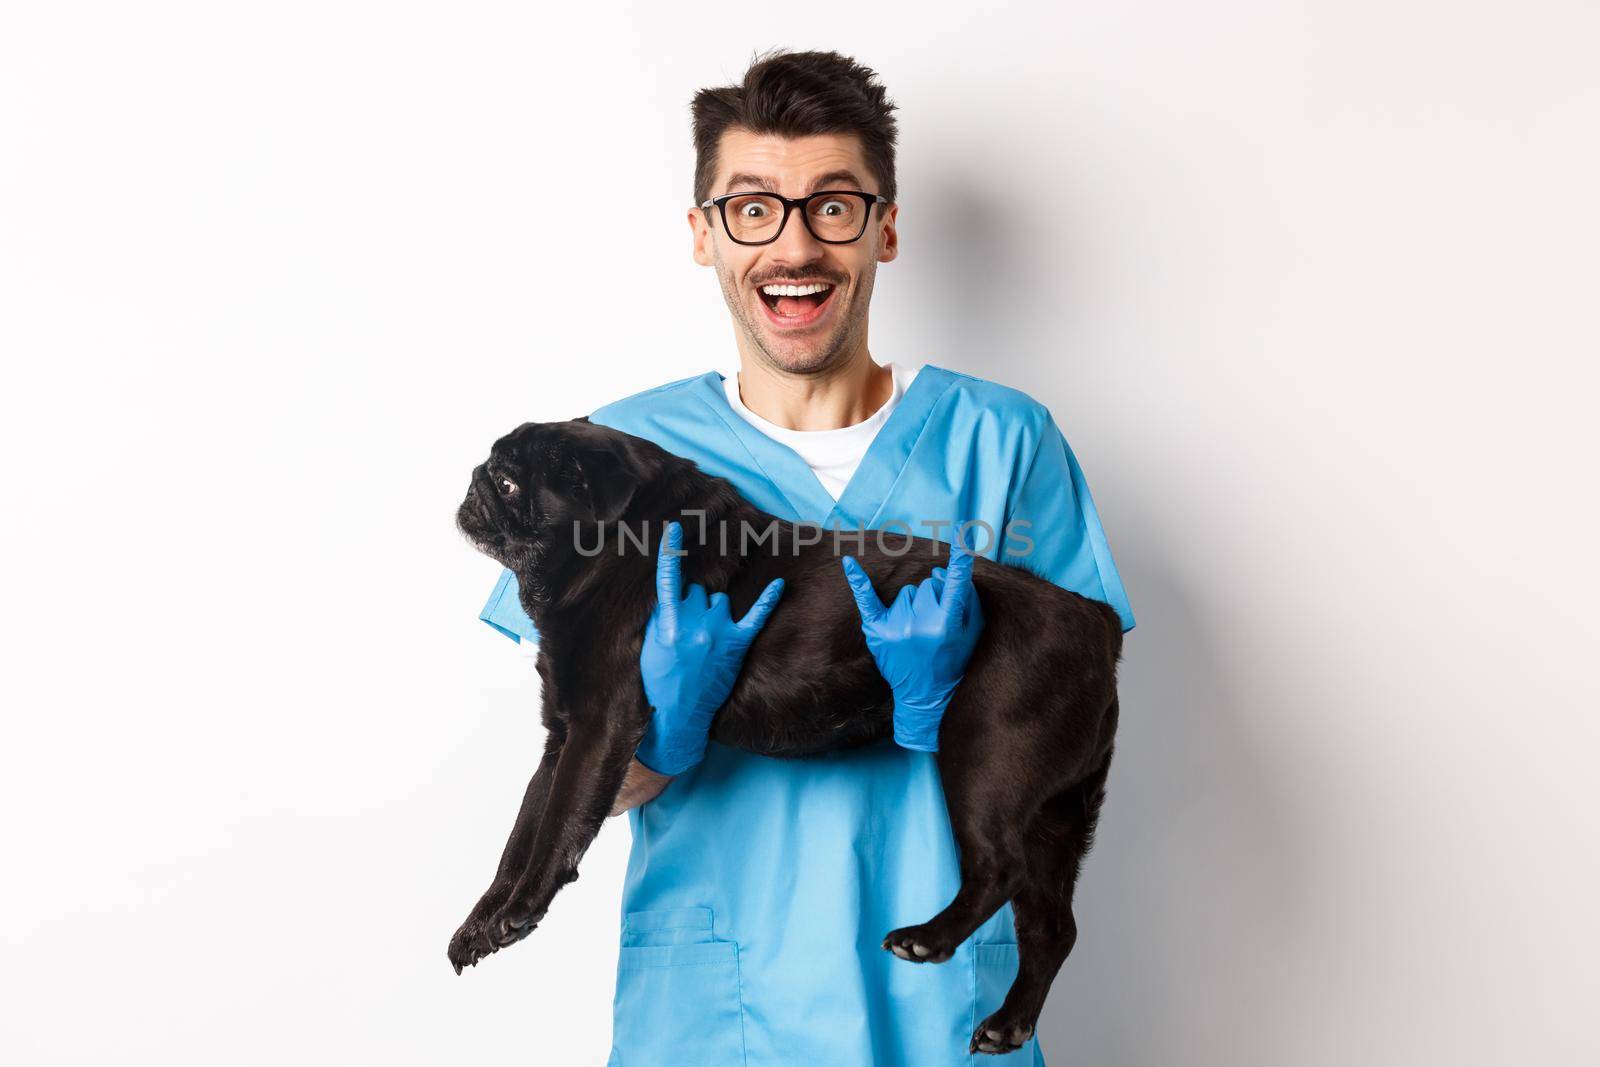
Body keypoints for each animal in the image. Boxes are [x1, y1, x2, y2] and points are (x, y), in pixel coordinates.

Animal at [451, 415, 1126, 1049]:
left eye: (510, 483)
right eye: (493, 472)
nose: (475, 481)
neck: (616, 550)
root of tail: (1098, 619)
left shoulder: (597, 728)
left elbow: (556, 829)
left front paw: (520, 910)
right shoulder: (561, 737)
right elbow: (522, 834)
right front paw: (482, 922)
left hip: (982, 758)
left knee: (1000, 868)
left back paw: (929, 940)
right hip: (1057, 813)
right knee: (1050, 926)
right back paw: (1010, 1023)